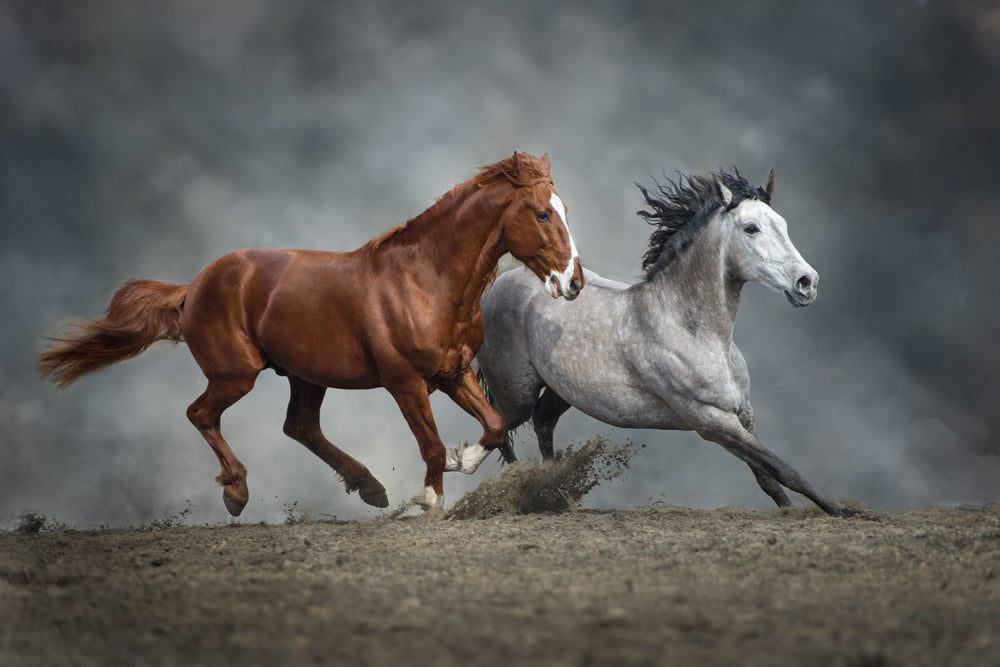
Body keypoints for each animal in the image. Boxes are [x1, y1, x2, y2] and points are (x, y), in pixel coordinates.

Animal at [39, 151, 584, 515]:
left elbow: (493, 426)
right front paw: (429, 497)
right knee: (201, 414)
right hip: (236, 373)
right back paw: (237, 492)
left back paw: (369, 487)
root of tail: (194, 285)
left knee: (299, 427)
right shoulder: (405, 382)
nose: (573, 282)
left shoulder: (451, 372)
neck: (425, 280)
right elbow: (429, 444)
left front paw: (460, 460)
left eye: (565, 210)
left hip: (305, 374)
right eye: (542, 213)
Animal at [476, 168, 851, 517]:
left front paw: (792, 510)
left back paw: (558, 496)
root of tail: (498, 285)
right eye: (751, 228)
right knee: (499, 428)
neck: (693, 330)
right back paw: (520, 492)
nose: (806, 283)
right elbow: (782, 468)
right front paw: (842, 511)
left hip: (562, 390)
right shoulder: (708, 419)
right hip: (516, 393)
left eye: (782, 224)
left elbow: (767, 475)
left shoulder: (742, 410)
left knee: (542, 421)